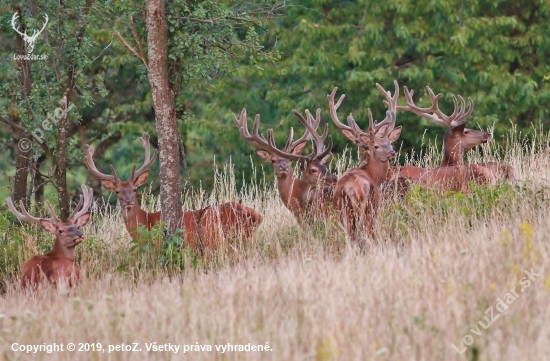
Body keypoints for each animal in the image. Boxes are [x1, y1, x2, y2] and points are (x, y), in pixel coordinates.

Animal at [330, 83, 404, 245]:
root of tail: (350, 189)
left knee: (351, 236)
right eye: (376, 146)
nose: (392, 152)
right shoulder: (376, 205)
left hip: (343, 211)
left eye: (389, 142)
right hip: (365, 206)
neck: (373, 176)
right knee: (365, 232)